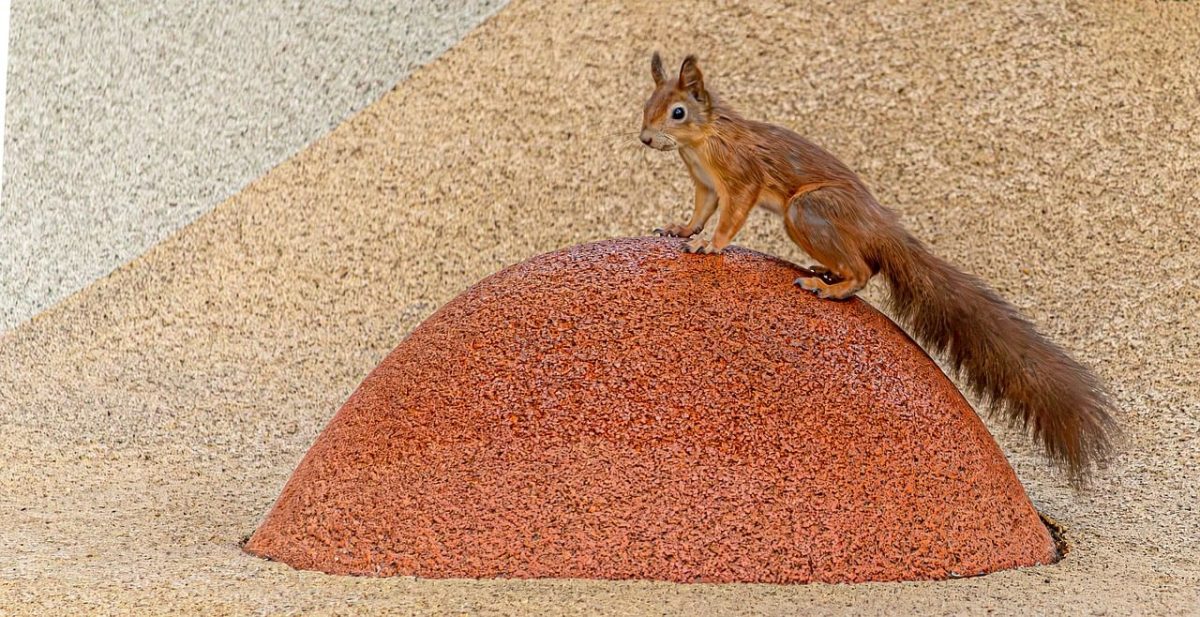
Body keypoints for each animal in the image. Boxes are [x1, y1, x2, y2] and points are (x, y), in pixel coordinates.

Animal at [639, 52, 1118, 486]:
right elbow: (700, 211)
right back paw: (825, 272)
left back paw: (830, 287)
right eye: (647, 104)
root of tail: (881, 226)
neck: (702, 139)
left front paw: (710, 245)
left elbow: (730, 216)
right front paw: (681, 229)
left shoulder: (740, 177)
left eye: (678, 112)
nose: (645, 139)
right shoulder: (704, 184)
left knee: (863, 271)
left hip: (807, 210)